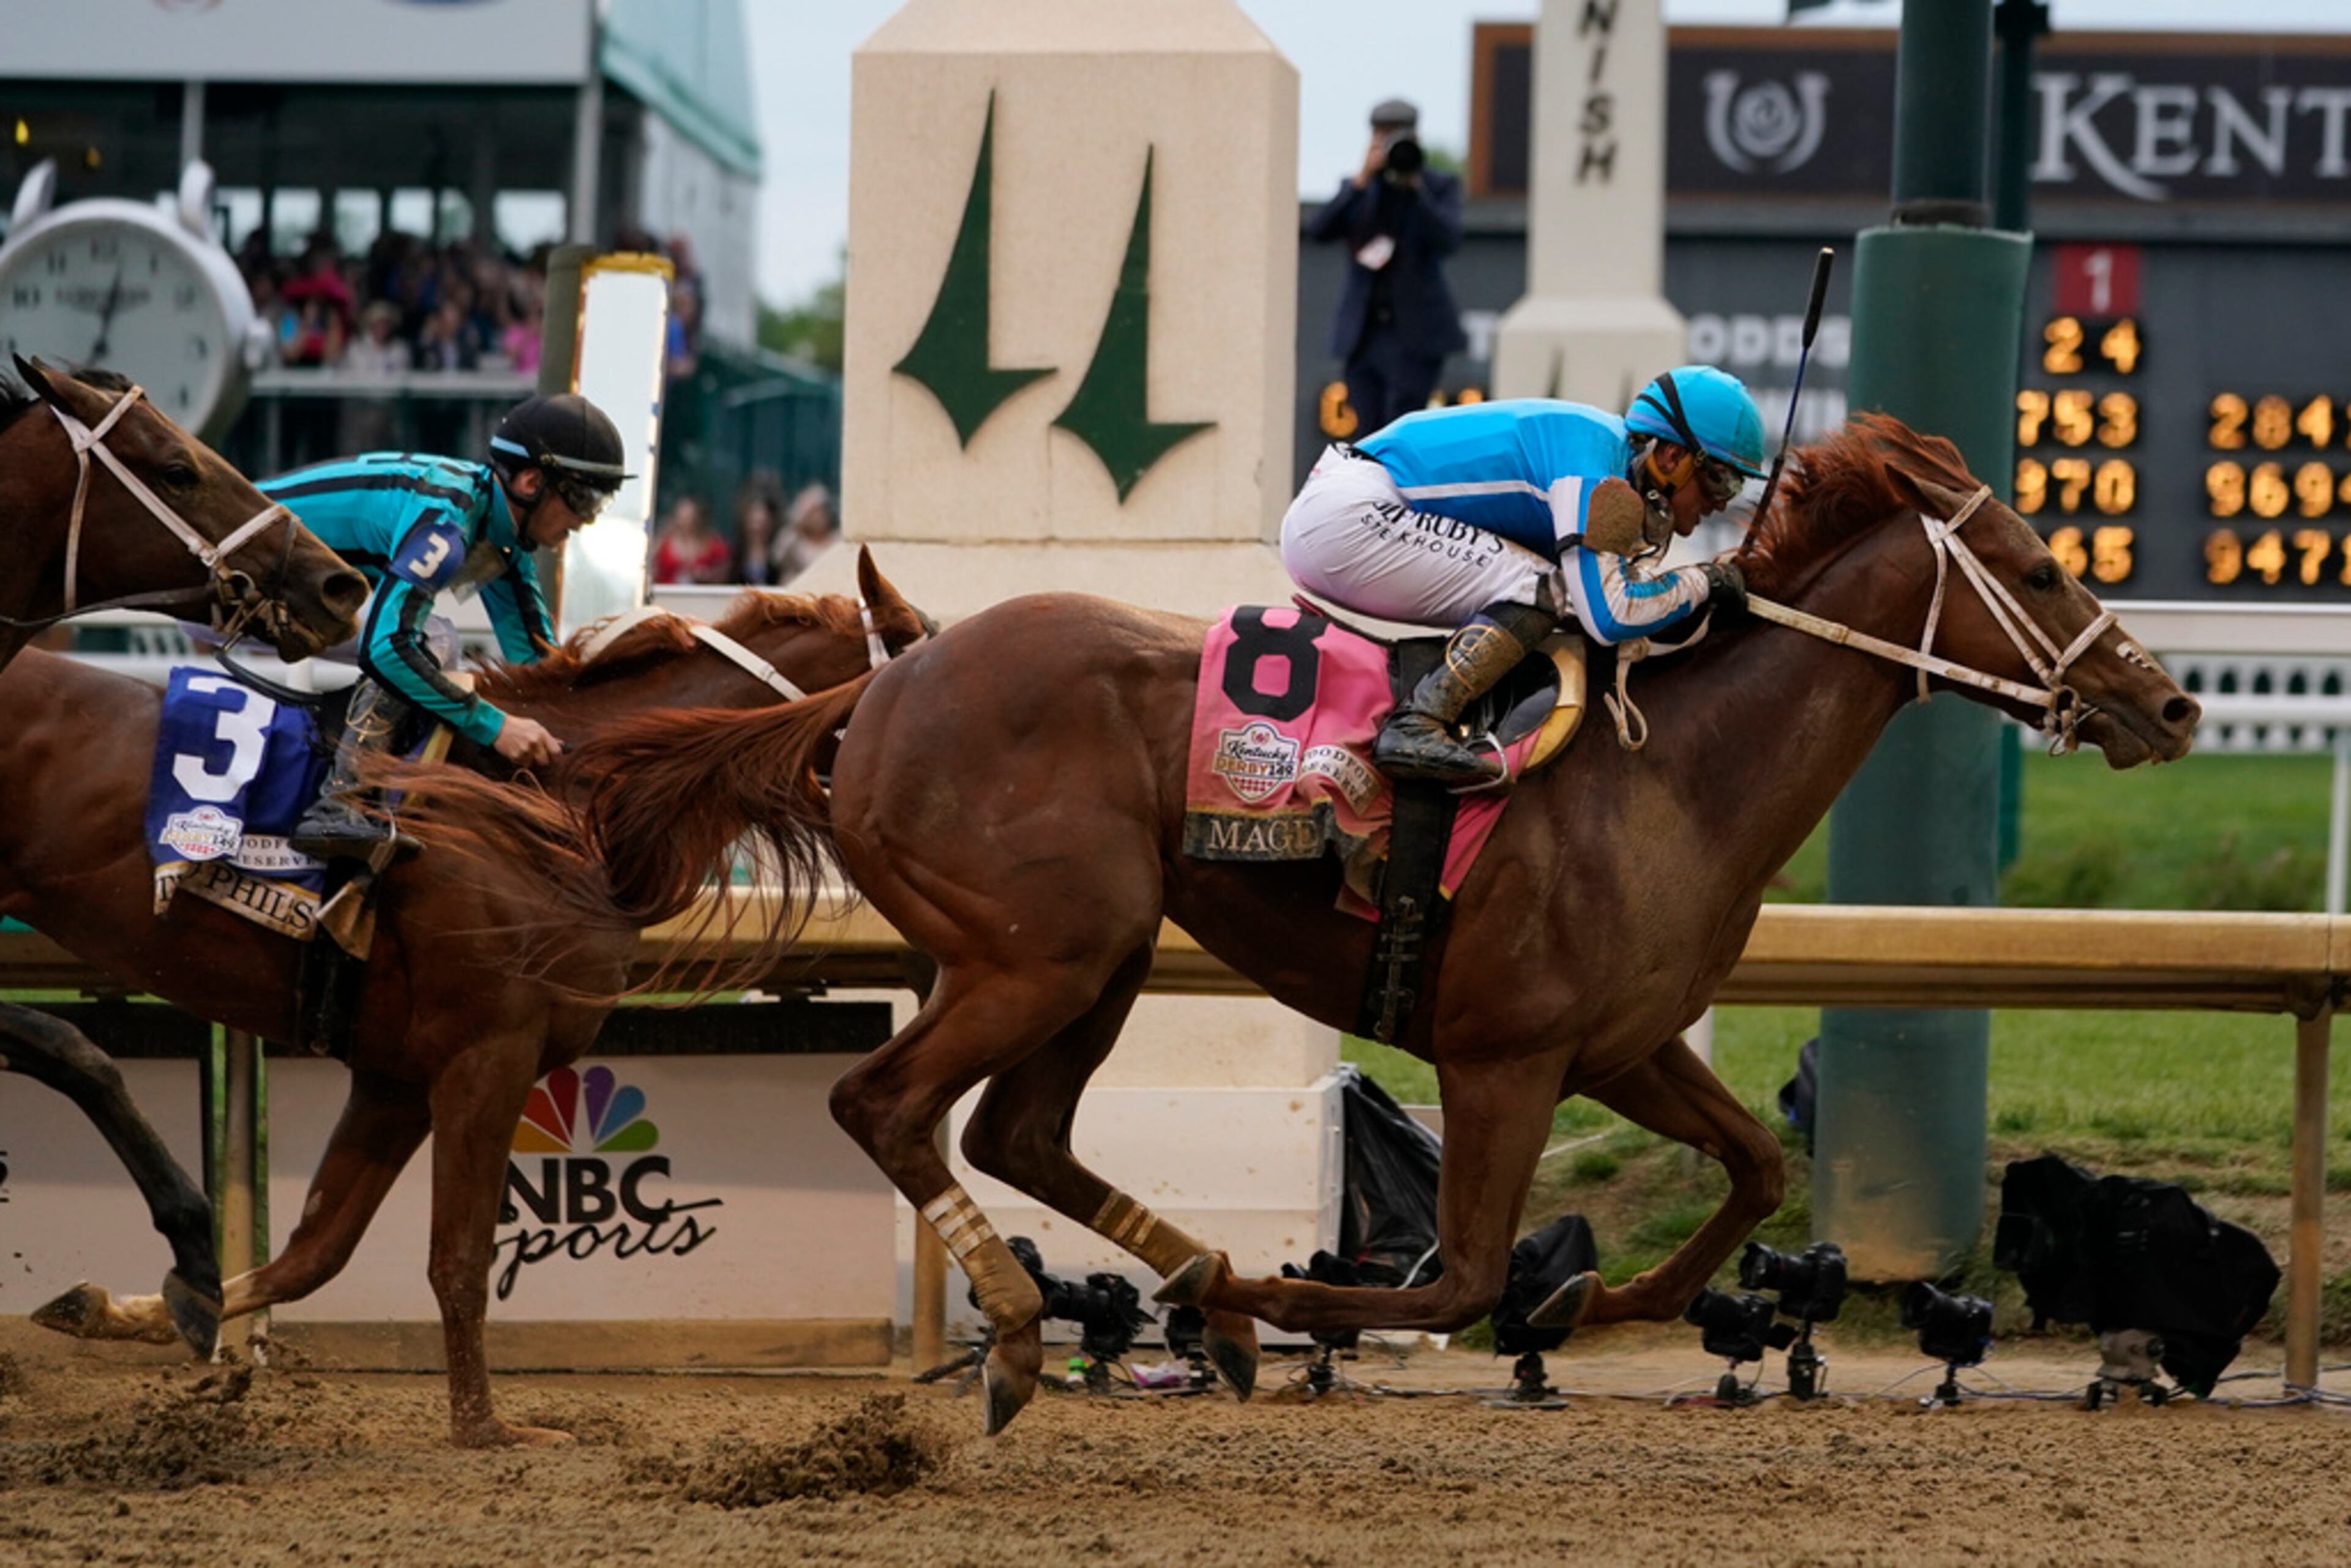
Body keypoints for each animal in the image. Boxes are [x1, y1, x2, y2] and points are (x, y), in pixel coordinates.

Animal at [0, 356, 369, 1356]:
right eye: (176, 469)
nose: (340, 585)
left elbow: (72, 1048)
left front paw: (199, 1262)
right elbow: (67, 1043)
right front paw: (197, 1253)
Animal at [5, 550, 931, 1446]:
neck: (557, 803)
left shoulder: (395, 1079)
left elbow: (316, 1251)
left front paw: (137, 1306)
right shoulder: (488, 1054)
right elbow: (459, 1255)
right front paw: (485, 1425)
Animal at [387, 415, 2201, 1435]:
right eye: (2042, 567)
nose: (2172, 700)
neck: (1670, 770)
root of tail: (886, 682)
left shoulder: (1618, 1045)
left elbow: (1753, 1168)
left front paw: (1598, 1304)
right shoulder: (1502, 1054)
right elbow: (1454, 1271)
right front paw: (1308, 1298)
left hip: (1104, 951)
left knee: (1023, 1133)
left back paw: (1185, 1289)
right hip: (1042, 946)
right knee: (888, 1103)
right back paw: (1045, 1330)